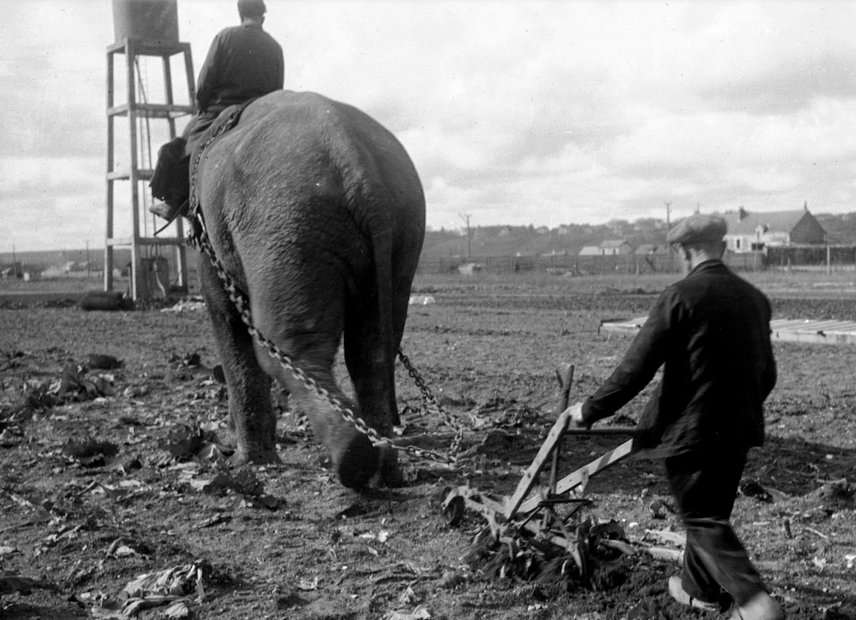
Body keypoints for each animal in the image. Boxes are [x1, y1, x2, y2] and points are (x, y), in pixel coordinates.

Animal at [187, 91, 424, 490]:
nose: (218, 443)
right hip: (401, 232)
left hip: (286, 229)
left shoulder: (211, 240)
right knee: (373, 353)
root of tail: (360, 168)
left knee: (287, 347)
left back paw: (353, 460)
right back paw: (387, 474)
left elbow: (225, 314)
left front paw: (245, 464)